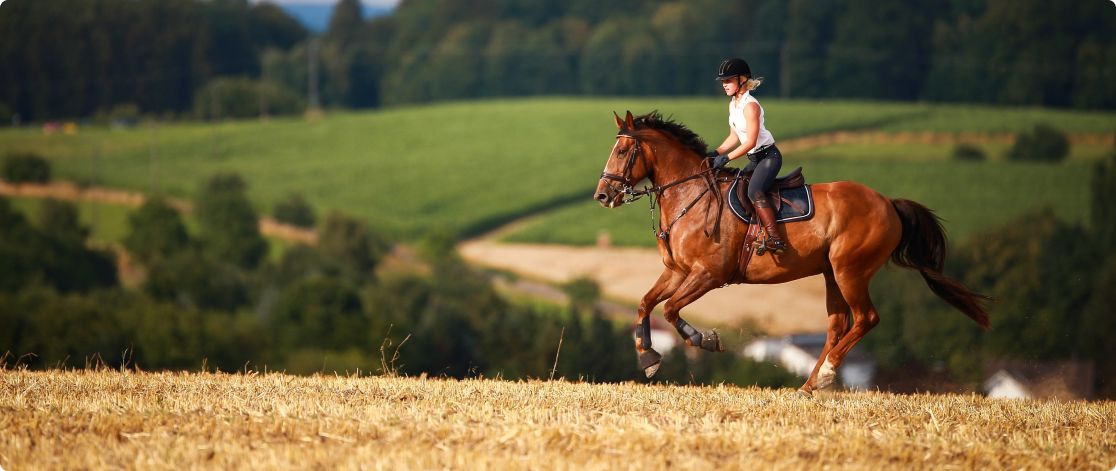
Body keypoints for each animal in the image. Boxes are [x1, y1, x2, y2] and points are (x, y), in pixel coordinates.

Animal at [593, 112, 986, 395]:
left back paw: (826, 375)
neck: (691, 196)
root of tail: (888, 203)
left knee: (866, 318)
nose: (602, 195)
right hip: (832, 274)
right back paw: (809, 385)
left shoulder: (709, 274)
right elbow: (645, 303)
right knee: (837, 326)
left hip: (850, 270)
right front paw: (648, 357)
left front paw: (705, 340)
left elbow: (671, 309)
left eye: (623, 152)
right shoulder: (677, 270)